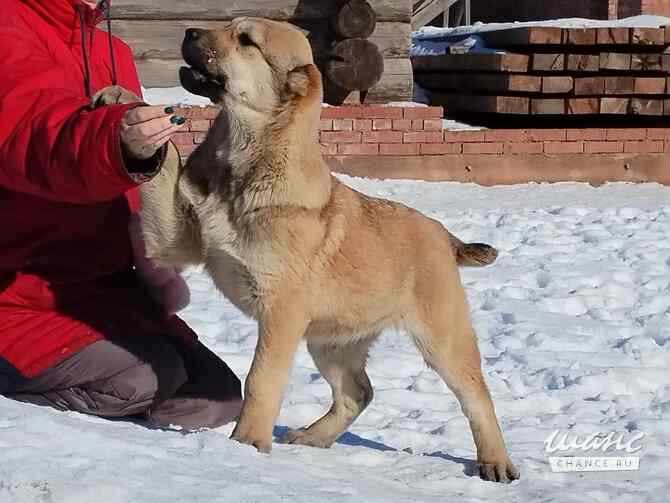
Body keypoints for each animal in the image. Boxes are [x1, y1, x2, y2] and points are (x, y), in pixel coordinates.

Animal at [139, 17, 524, 484]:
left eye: (246, 40)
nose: (190, 33)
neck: (248, 164)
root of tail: (443, 237)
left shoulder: (282, 312)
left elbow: (262, 379)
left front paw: (246, 444)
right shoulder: (178, 239)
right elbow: (162, 180)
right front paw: (122, 108)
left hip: (442, 338)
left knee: (476, 395)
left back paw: (496, 461)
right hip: (332, 340)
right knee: (358, 392)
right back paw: (313, 437)